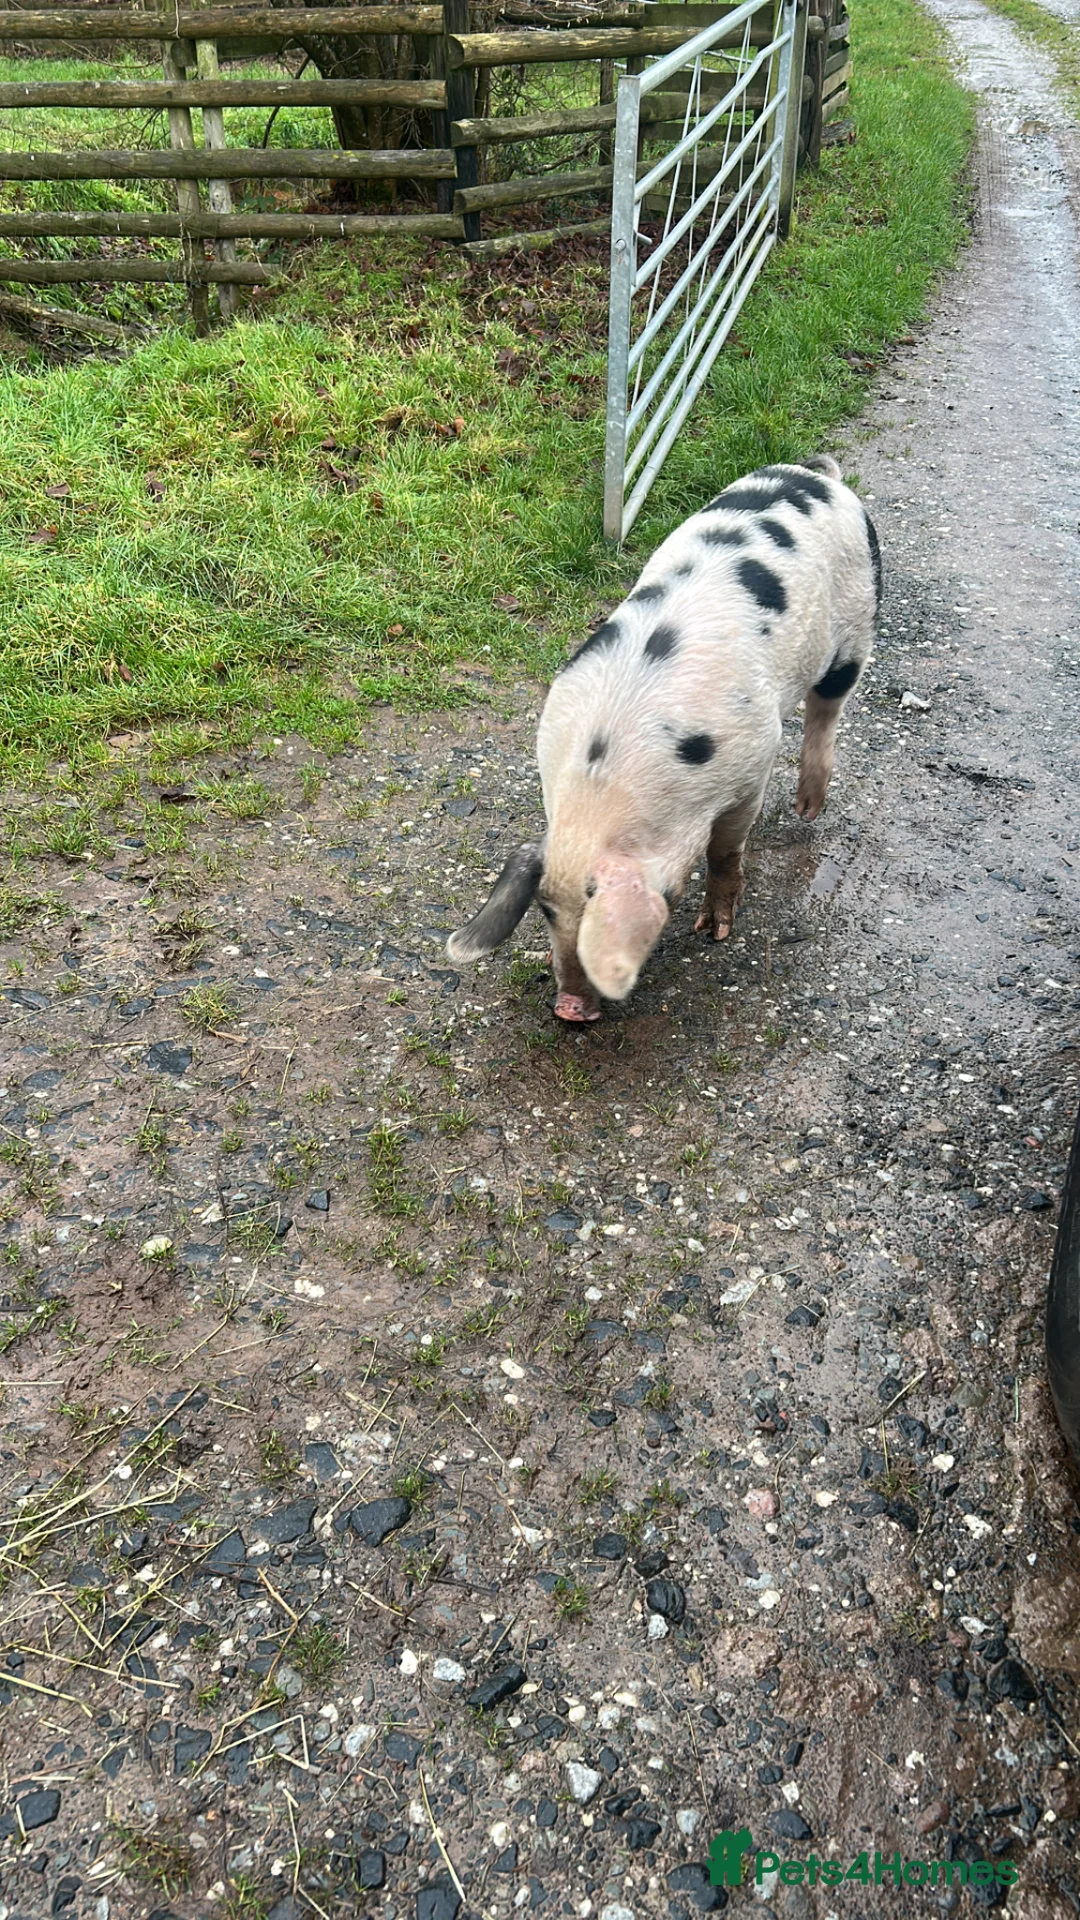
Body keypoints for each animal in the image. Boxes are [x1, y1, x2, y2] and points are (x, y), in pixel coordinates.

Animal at [447, 457, 881, 1021]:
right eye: (544, 910)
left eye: (664, 899)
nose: (569, 1008)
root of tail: (818, 476)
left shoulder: (752, 765)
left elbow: (725, 851)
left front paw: (714, 932)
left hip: (856, 622)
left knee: (827, 708)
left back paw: (808, 809)